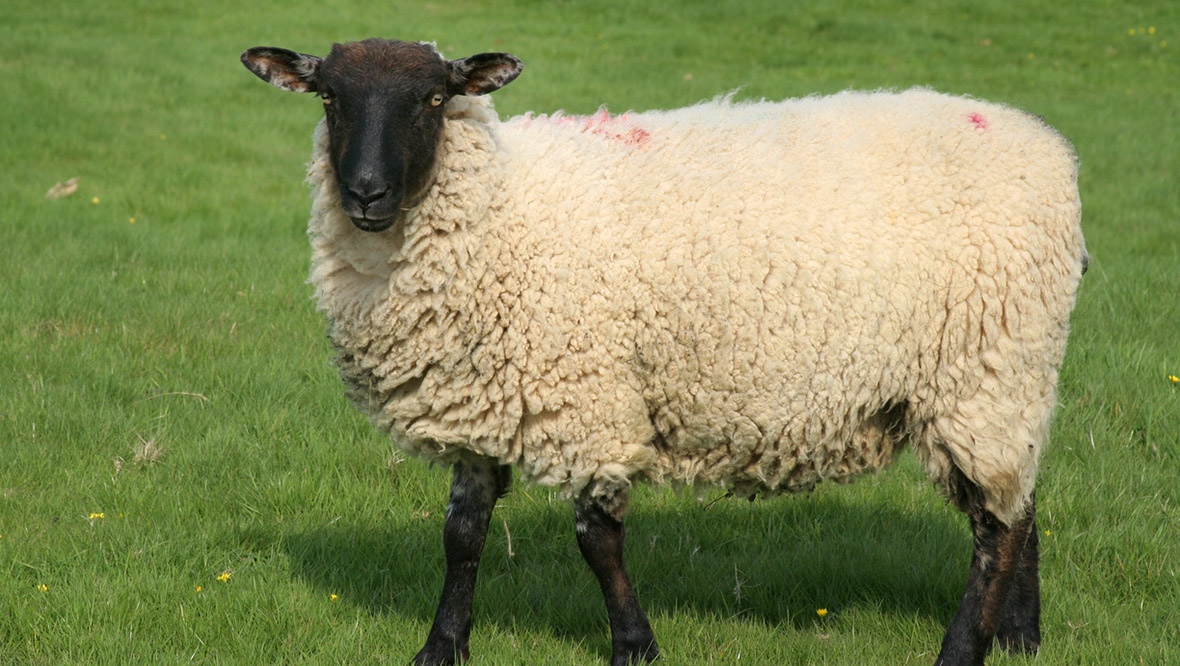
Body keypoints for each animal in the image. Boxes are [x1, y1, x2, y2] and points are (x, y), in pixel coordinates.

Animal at [239, 37, 1085, 666]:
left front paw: (634, 645)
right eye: (329, 98)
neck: (502, 208)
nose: (366, 193)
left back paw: (963, 648)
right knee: (1021, 501)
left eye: (434, 100)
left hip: (985, 369)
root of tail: (1047, 146)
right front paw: (439, 648)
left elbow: (596, 538)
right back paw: (1020, 634)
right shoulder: (482, 397)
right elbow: (462, 534)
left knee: (993, 528)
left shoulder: (588, 396)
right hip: (1010, 376)